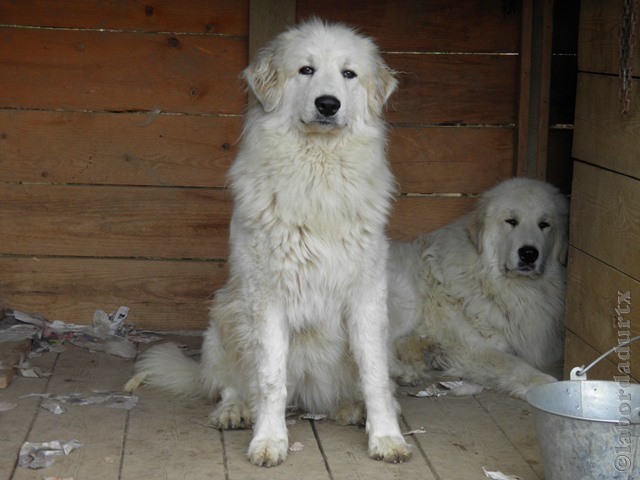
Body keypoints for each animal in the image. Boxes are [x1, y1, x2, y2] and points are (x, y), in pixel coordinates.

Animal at [125, 20, 410, 466]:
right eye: (306, 70)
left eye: (349, 74)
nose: (328, 104)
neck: (317, 173)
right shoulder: (268, 298)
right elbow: (270, 380)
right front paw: (269, 440)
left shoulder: (366, 296)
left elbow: (375, 378)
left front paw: (386, 436)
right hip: (224, 316)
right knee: (232, 384)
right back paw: (235, 411)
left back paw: (351, 408)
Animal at [388, 178, 568, 400]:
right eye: (511, 221)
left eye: (544, 224)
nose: (528, 253)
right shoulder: (472, 347)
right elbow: (512, 363)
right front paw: (543, 383)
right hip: (406, 303)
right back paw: (403, 372)